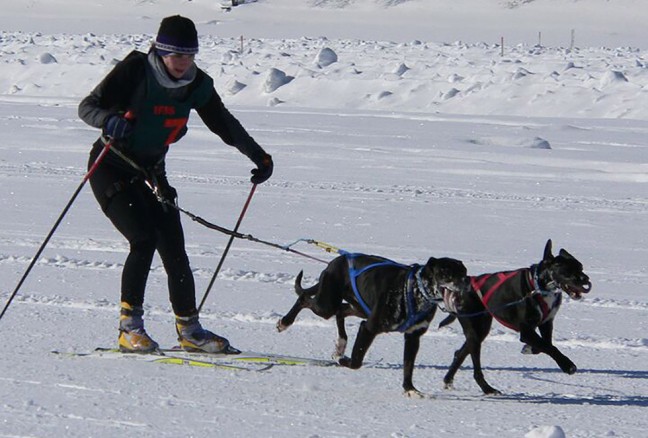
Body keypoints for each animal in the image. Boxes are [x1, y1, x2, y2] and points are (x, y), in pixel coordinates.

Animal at [276, 250, 468, 396]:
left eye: (465, 273)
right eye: (446, 273)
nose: (466, 283)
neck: (415, 291)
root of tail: (335, 261)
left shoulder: (413, 336)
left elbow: (408, 365)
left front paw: (410, 389)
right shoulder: (368, 328)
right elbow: (356, 361)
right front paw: (341, 359)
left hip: (358, 307)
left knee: (341, 311)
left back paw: (341, 344)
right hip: (326, 305)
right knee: (304, 298)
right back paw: (285, 321)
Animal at [440, 241, 592, 396]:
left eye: (580, 267)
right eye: (568, 270)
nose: (586, 279)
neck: (538, 286)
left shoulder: (546, 323)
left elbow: (546, 344)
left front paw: (530, 348)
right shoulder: (526, 331)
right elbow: (549, 346)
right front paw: (567, 365)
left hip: (481, 328)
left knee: (460, 353)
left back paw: (449, 379)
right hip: (474, 329)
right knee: (476, 367)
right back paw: (487, 389)